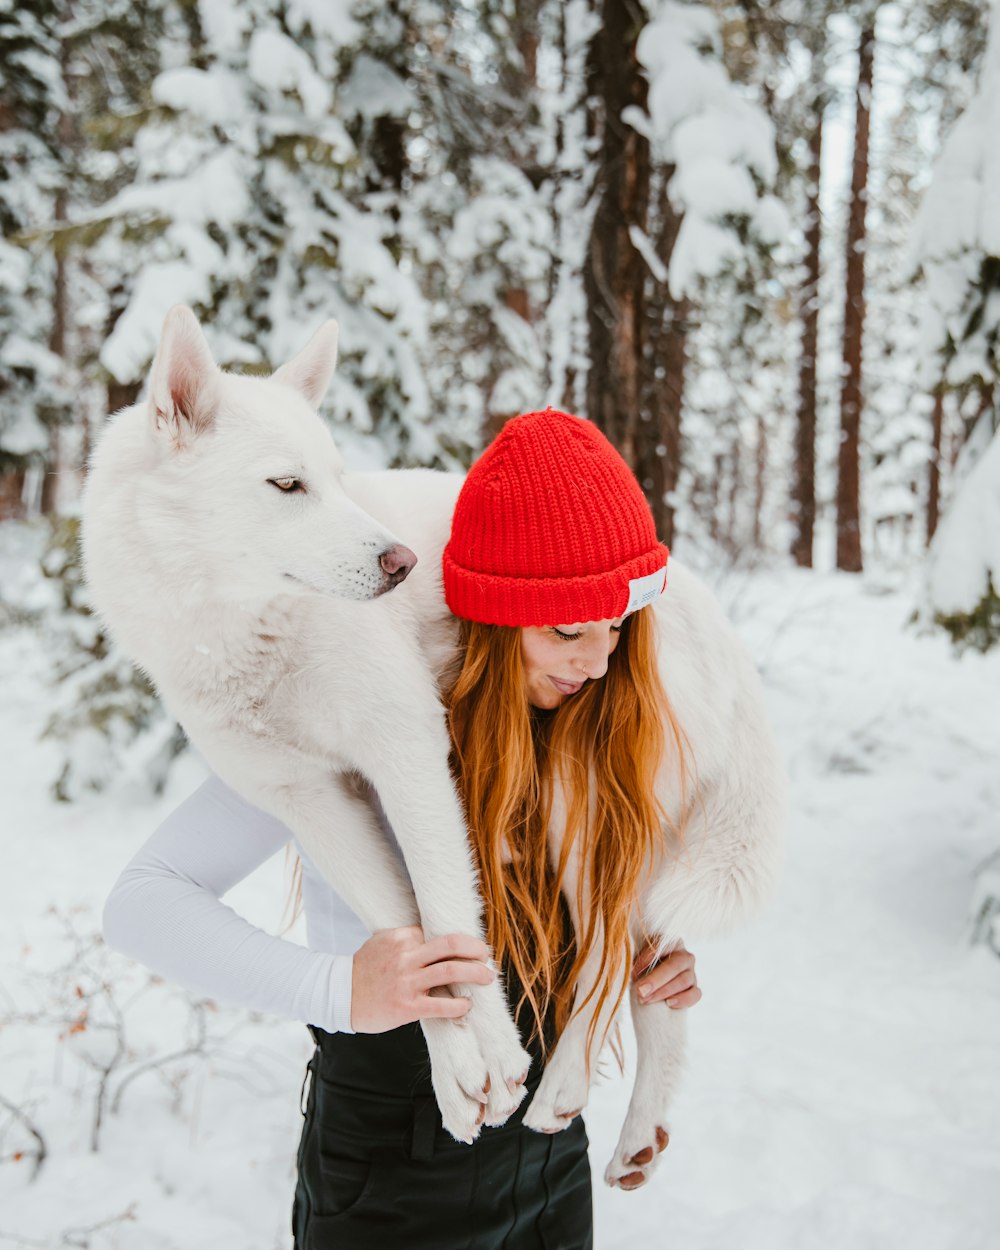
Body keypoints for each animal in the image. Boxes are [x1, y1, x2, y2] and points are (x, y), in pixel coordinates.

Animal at [81, 305, 785, 1180]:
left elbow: (448, 907)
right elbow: (408, 929)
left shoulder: (405, 747)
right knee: (653, 978)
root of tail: (706, 617)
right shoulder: (310, 798)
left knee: (608, 952)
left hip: (574, 800)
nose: (403, 563)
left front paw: (500, 1061)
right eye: (288, 485)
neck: (244, 638)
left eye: (338, 477)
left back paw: (562, 1084)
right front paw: (461, 1072)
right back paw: (640, 1133)